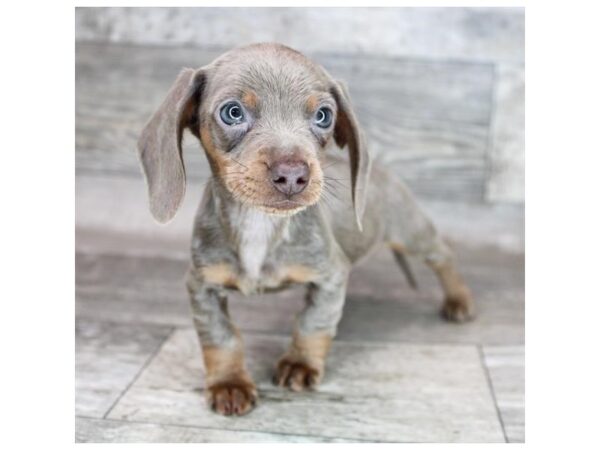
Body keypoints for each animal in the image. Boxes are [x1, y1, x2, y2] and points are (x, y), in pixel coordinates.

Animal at [137, 42, 474, 414]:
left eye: (323, 115)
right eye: (233, 112)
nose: (293, 174)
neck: (261, 224)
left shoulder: (330, 274)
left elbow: (313, 323)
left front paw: (299, 363)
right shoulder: (202, 284)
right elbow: (220, 336)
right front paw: (229, 383)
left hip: (412, 233)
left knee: (444, 256)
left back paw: (459, 300)